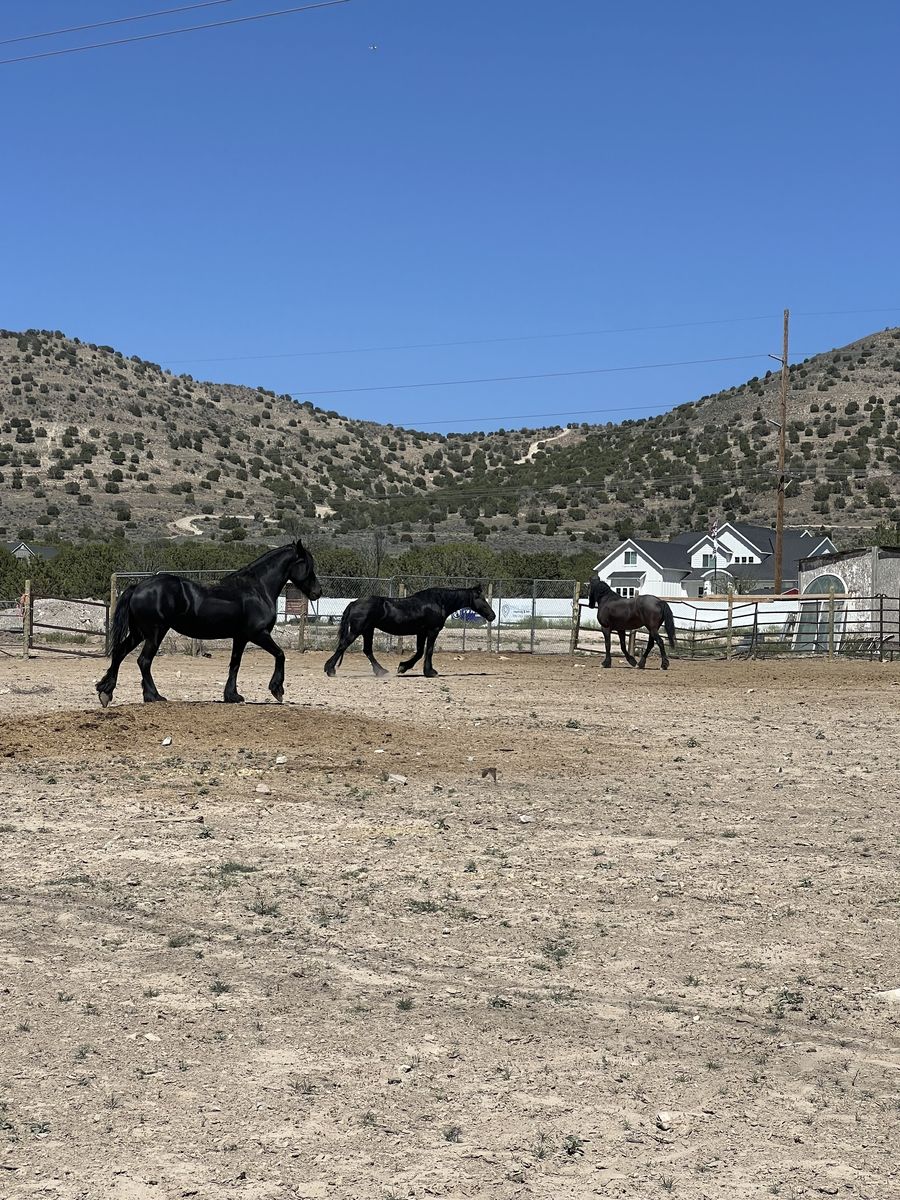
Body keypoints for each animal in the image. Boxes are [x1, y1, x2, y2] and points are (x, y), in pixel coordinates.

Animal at [96, 541, 322, 706]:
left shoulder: (240, 637)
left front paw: (232, 696)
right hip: (154, 633)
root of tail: (138, 587)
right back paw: (154, 696)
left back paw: (106, 692)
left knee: (119, 653)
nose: (317, 592)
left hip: (139, 633)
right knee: (143, 661)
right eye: (308, 564)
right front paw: (277, 690)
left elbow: (235, 664)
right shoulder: (258, 634)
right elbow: (280, 655)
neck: (257, 589)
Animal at [323, 584, 496, 678]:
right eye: (481, 599)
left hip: (368, 630)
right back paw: (330, 669)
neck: (439, 602)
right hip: (358, 630)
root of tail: (353, 603)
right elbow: (428, 651)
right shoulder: (432, 631)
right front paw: (430, 672)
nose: (492, 615)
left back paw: (381, 671)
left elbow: (419, 652)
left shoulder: (421, 632)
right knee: (343, 646)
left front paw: (403, 667)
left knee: (367, 650)